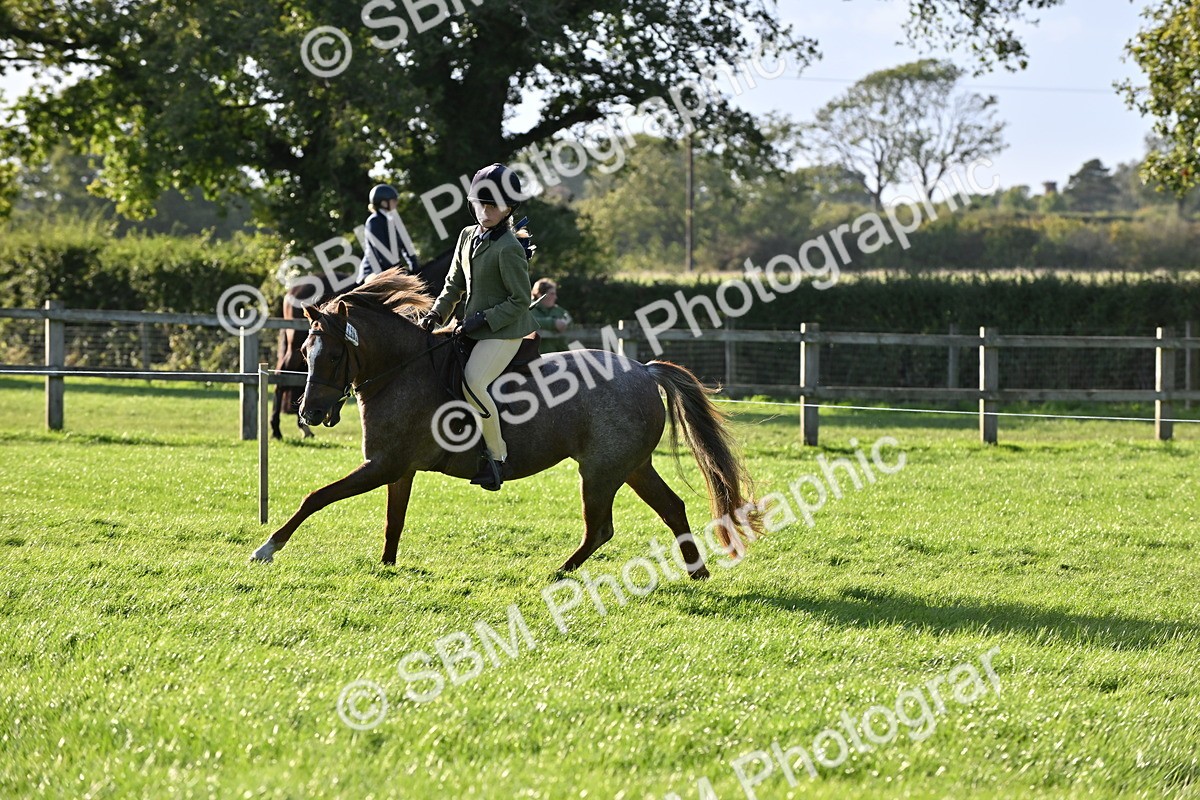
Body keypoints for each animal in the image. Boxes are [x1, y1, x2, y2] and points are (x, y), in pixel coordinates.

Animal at [250, 271, 764, 576]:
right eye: (305, 351)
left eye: (334, 355)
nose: (310, 414)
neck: (403, 370)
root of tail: (643, 369)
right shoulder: (397, 468)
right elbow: (393, 521)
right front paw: (388, 567)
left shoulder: (382, 465)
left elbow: (317, 497)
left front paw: (267, 547)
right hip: (630, 466)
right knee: (670, 507)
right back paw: (696, 571)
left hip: (600, 471)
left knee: (601, 528)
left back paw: (559, 572)